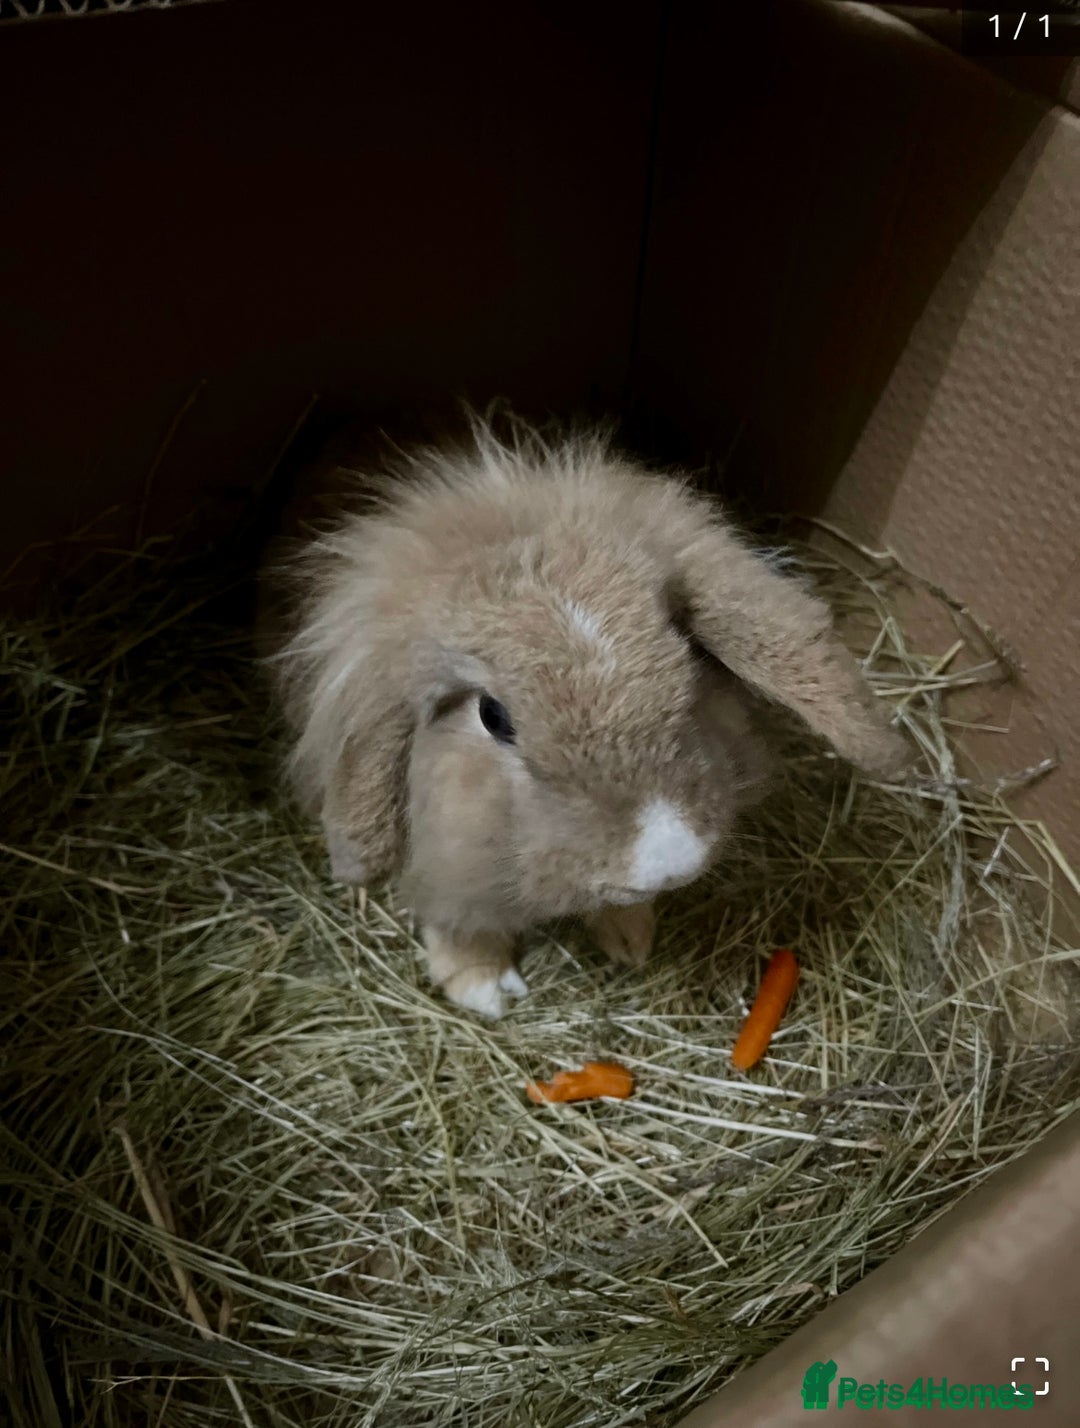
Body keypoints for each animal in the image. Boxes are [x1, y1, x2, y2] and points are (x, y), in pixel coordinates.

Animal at [269, 413, 908, 1018]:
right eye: (492, 716)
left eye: (689, 652)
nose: (668, 862)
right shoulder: (445, 856)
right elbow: (456, 916)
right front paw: (484, 990)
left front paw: (632, 938)